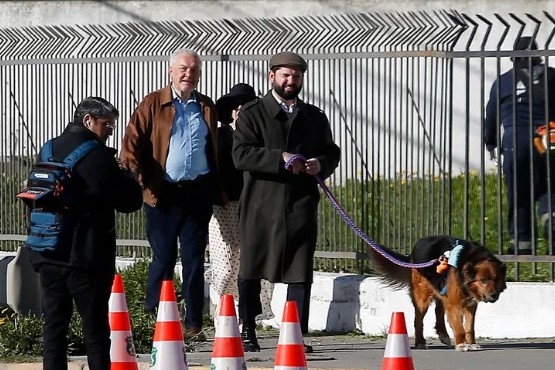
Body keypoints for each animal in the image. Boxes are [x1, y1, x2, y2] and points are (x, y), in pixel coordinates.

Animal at [372, 236, 506, 352]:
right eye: (483, 280)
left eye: (497, 279)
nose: (494, 295)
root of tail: (417, 245)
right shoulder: (454, 304)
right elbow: (459, 328)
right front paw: (461, 344)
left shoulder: (470, 305)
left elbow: (469, 328)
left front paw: (471, 343)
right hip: (422, 297)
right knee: (418, 320)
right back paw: (420, 342)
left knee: (438, 311)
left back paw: (443, 334)